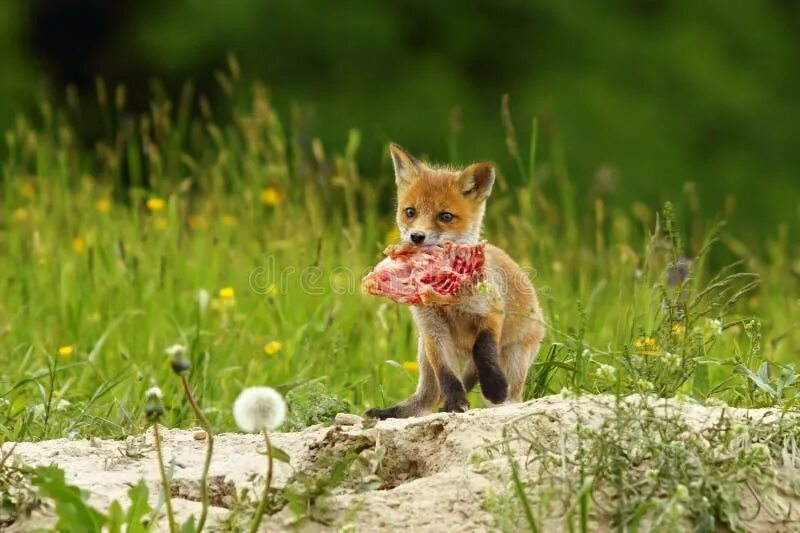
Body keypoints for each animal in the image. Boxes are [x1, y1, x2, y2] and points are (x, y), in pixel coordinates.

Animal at [366, 143, 548, 418]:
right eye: (410, 212)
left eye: (445, 216)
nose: (417, 236)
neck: (451, 301)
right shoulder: (432, 328)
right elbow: (447, 375)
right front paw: (454, 404)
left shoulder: (491, 313)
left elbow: (482, 350)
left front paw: (494, 387)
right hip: (423, 353)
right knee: (428, 397)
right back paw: (394, 412)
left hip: (515, 356)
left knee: (511, 394)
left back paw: (502, 400)